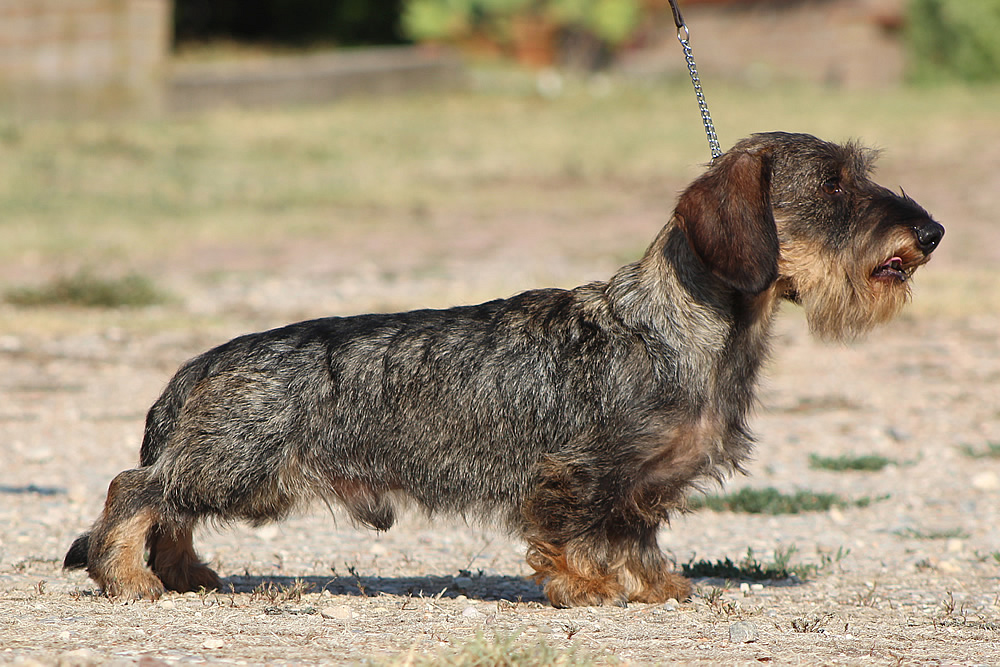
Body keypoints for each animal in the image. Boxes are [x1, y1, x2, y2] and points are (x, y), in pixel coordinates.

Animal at [64, 130, 944, 604]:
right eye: (832, 184)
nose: (932, 231)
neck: (676, 327)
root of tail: (195, 367)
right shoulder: (580, 470)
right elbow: (577, 532)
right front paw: (585, 588)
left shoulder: (642, 484)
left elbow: (638, 534)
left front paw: (658, 585)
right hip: (239, 465)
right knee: (134, 489)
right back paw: (128, 575)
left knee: (168, 505)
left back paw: (183, 571)